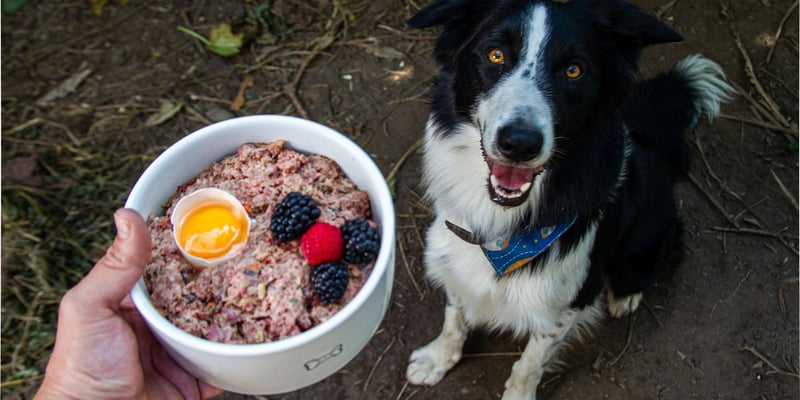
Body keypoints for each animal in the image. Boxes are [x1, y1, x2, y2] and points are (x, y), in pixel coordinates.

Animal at [406, 0, 732, 398]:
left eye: (574, 70)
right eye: (495, 54)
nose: (519, 144)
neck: (504, 233)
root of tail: (650, 141)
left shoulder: (567, 303)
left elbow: (530, 363)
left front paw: (518, 394)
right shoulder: (454, 256)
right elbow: (454, 316)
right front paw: (437, 359)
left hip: (648, 240)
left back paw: (626, 295)